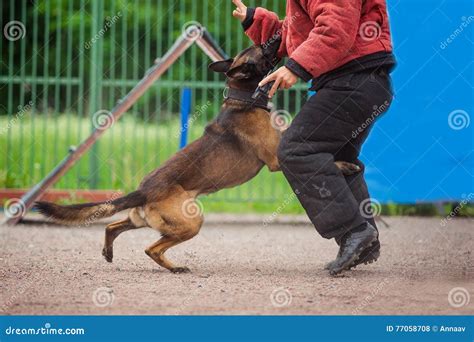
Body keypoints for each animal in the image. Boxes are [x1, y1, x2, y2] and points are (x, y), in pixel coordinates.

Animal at [36, 42, 360, 272]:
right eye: (261, 48)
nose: (275, 36)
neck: (244, 100)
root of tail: (143, 190)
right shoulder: (276, 160)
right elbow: (324, 158)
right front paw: (345, 165)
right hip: (191, 221)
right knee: (151, 248)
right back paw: (175, 267)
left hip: (142, 220)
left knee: (111, 226)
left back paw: (109, 252)